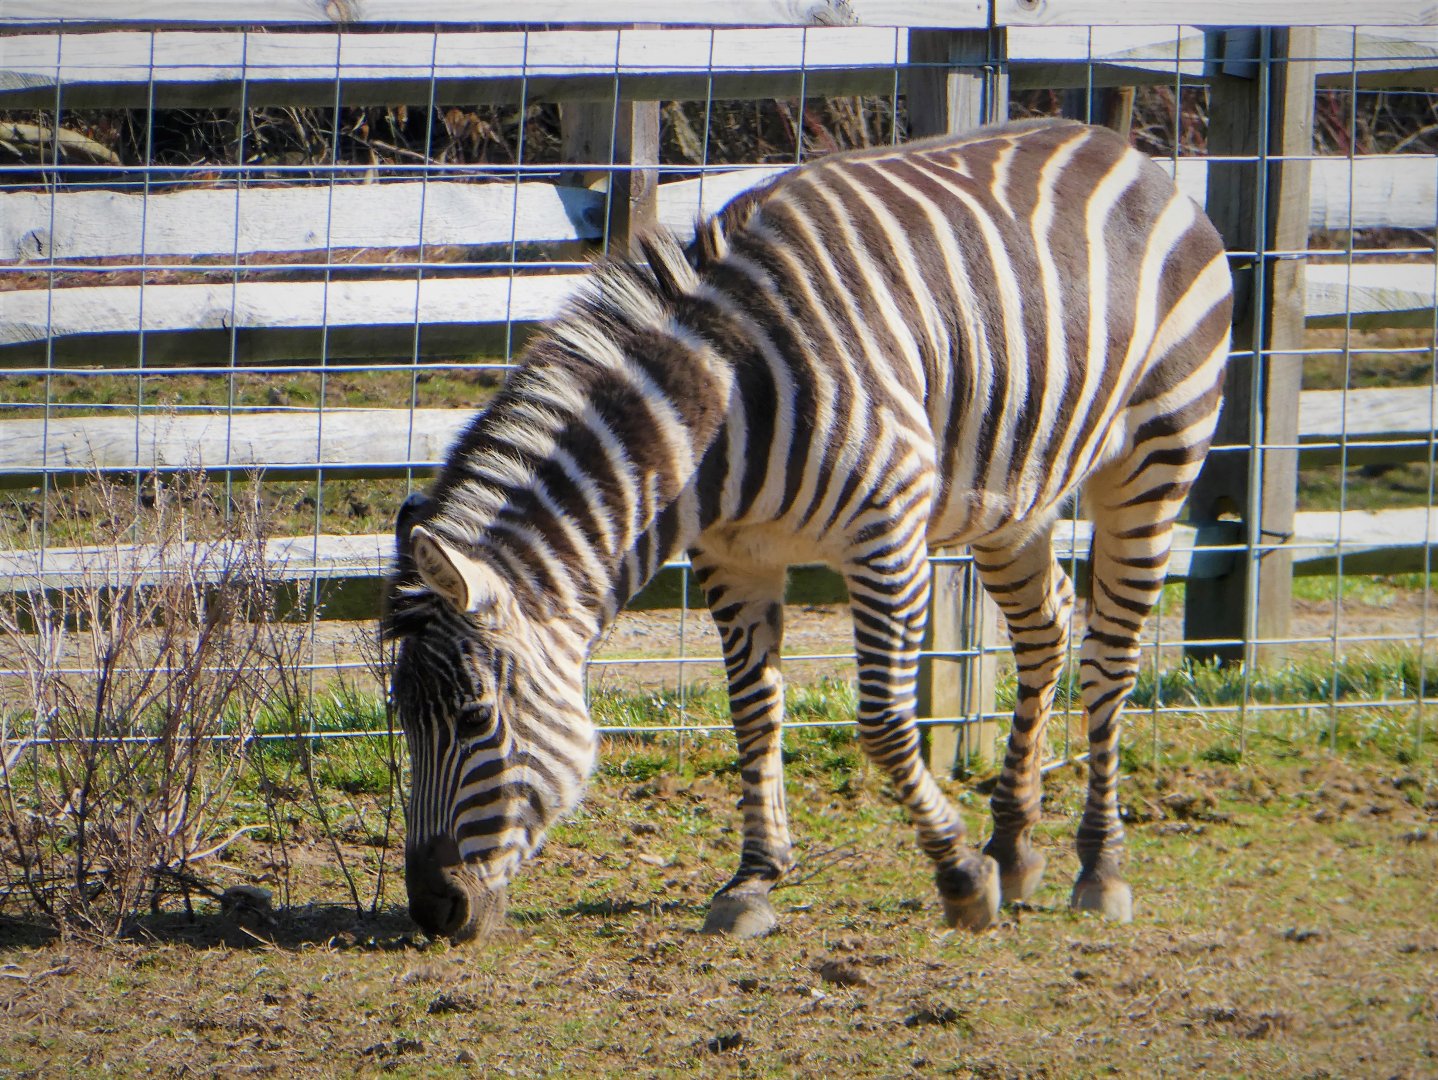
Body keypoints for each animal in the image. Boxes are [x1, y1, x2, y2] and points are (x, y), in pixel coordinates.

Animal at [384, 118, 1233, 941]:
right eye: (402, 718)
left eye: (475, 718)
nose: (433, 912)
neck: (722, 415)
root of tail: (1128, 151)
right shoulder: (734, 560)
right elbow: (753, 714)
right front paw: (754, 883)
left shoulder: (888, 538)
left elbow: (884, 722)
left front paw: (960, 878)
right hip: (1011, 489)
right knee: (1046, 626)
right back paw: (1016, 846)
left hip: (1157, 451)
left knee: (1110, 657)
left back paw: (1100, 866)